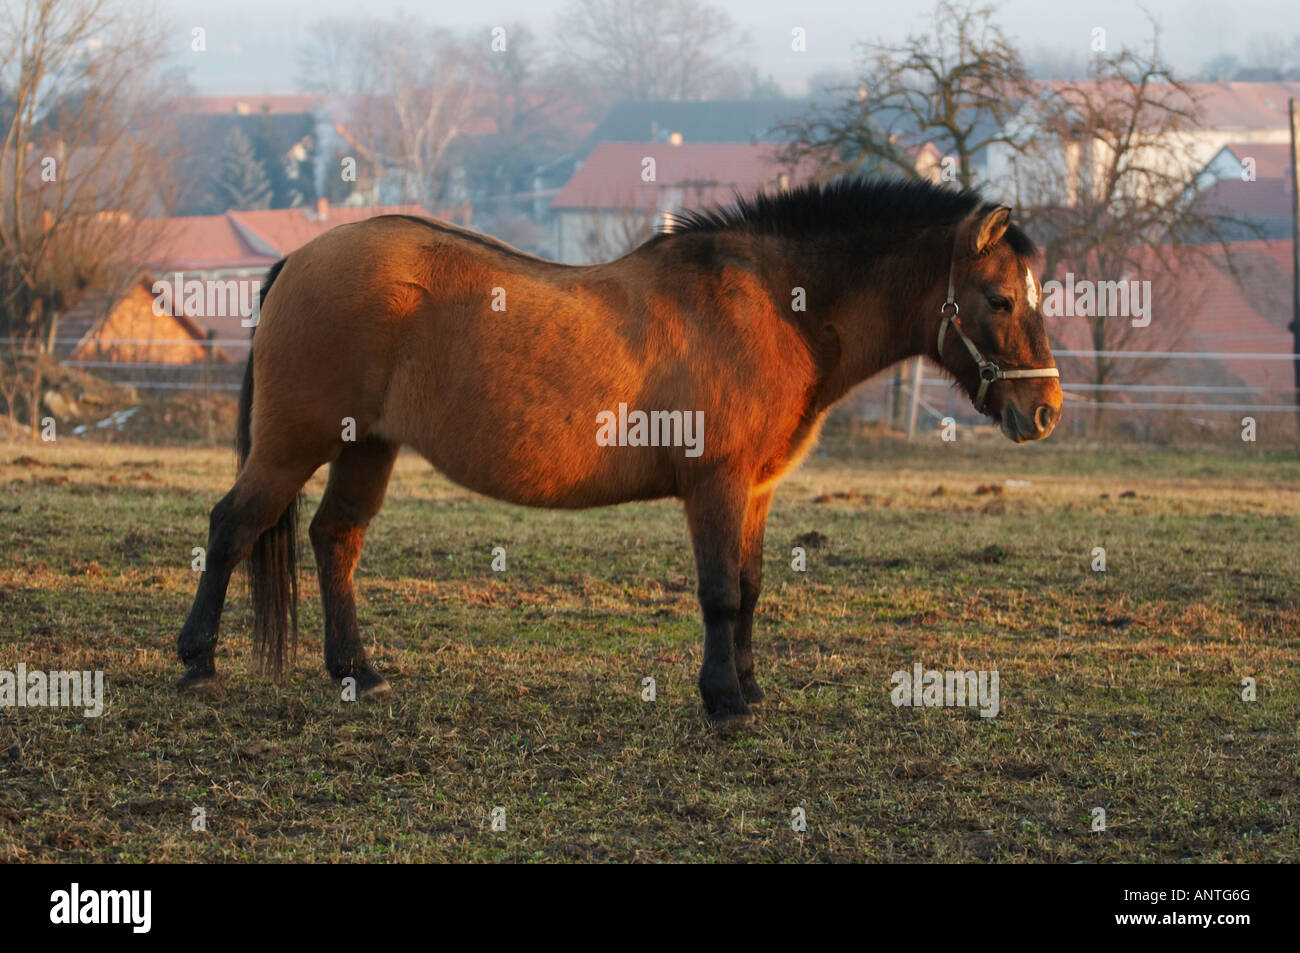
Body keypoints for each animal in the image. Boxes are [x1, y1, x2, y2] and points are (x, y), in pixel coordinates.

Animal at [172, 178, 1060, 722]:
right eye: (999, 299)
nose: (1044, 410)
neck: (775, 306)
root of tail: (297, 260)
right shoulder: (715, 486)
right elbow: (718, 592)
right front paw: (723, 701)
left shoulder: (757, 490)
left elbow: (751, 586)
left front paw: (750, 688)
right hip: (293, 442)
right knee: (232, 526)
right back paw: (197, 663)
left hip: (368, 447)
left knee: (335, 540)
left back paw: (357, 668)